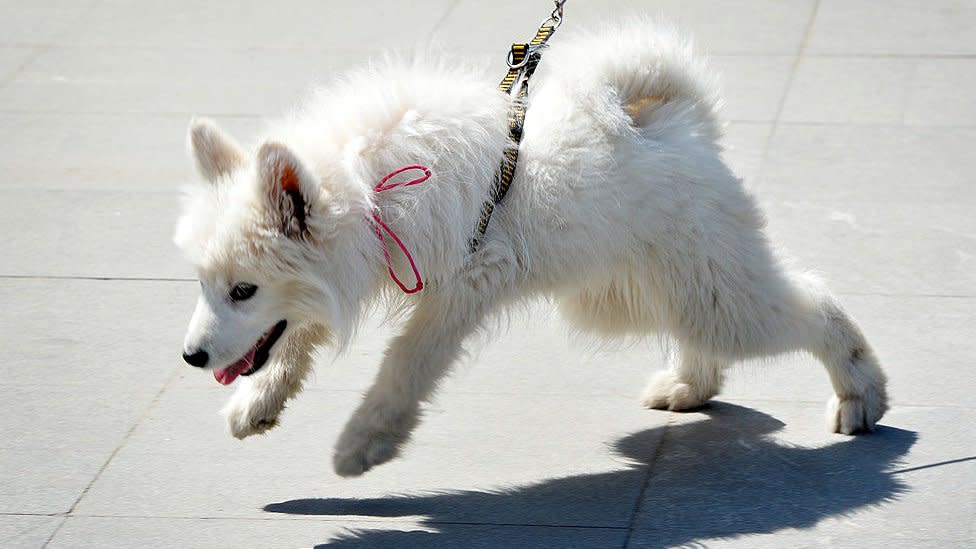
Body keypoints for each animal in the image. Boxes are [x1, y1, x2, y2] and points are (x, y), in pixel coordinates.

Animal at [173, 21, 884, 476]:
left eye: (244, 289)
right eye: (205, 285)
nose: (191, 358)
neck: (370, 187)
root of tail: (682, 124)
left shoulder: (464, 283)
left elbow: (405, 361)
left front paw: (365, 441)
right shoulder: (367, 271)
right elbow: (295, 336)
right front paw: (258, 405)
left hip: (707, 290)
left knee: (817, 306)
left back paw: (862, 396)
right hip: (643, 291)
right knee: (706, 326)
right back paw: (691, 383)